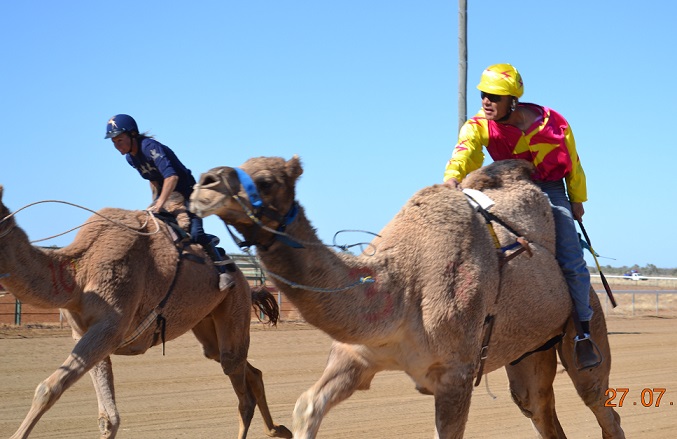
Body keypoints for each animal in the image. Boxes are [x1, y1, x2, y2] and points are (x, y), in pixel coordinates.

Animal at [0, 188, 290, 439]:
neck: (79, 273)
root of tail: (243, 279)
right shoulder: (84, 333)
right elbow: (109, 418)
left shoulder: (108, 328)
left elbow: (48, 389)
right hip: (207, 326)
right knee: (243, 368)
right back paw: (279, 429)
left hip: (235, 303)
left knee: (241, 389)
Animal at [189, 158, 624, 439]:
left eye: (266, 180)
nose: (204, 182)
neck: (399, 287)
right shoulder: (355, 357)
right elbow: (307, 406)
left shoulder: (456, 375)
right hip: (529, 352)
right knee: (538, 408)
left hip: (583, 327)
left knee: (602, 406)